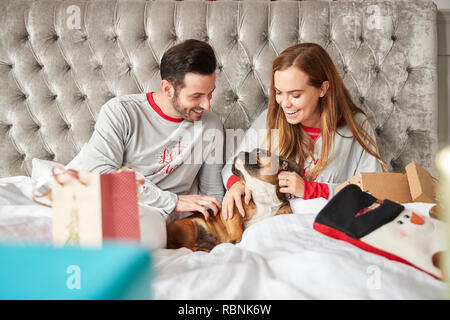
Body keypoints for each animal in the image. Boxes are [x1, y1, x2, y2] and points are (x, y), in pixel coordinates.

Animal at [166, 148, 302, 252]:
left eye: (259, 152)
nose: (241, 151)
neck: (262, 193)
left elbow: (286, 209)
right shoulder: (234, 209)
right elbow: (237, 227)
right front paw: (236, 239)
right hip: (189, 226)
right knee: (187, 247)